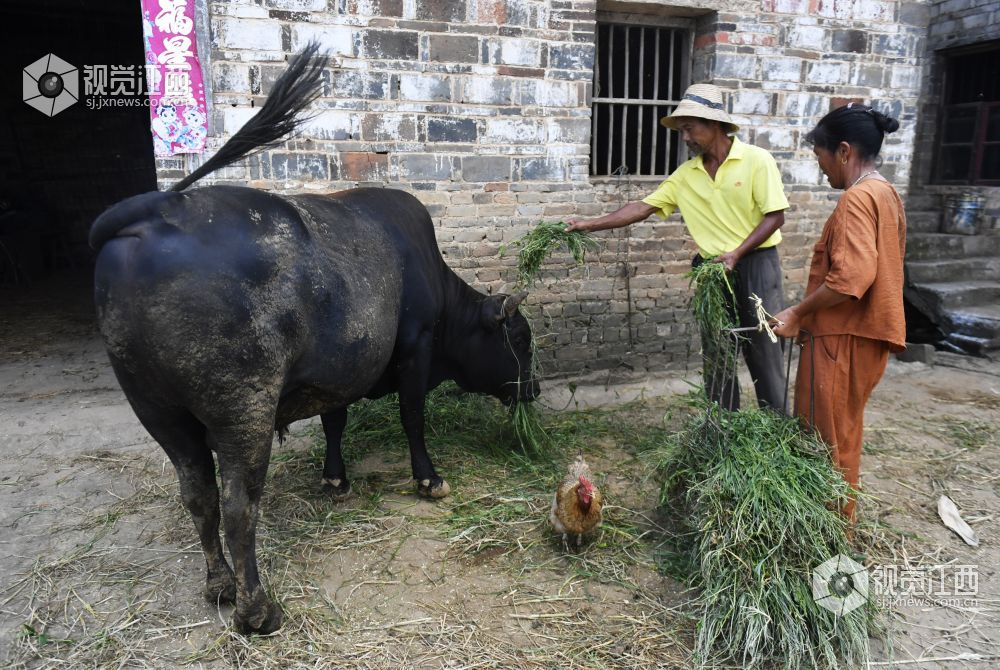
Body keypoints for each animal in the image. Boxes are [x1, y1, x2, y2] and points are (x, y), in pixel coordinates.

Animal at [90, 46, 536, 636]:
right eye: (522, 340)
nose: (533, 391)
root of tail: (158, 209)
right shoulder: (414, 349)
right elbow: (413, 416)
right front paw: (428, 478)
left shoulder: (337, 371)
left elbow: (334, 421)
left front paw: (335, 479)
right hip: (242, 409)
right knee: (238, 504)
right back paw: (257, 609)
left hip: (159, 410)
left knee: (198, 494)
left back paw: (219, 585)